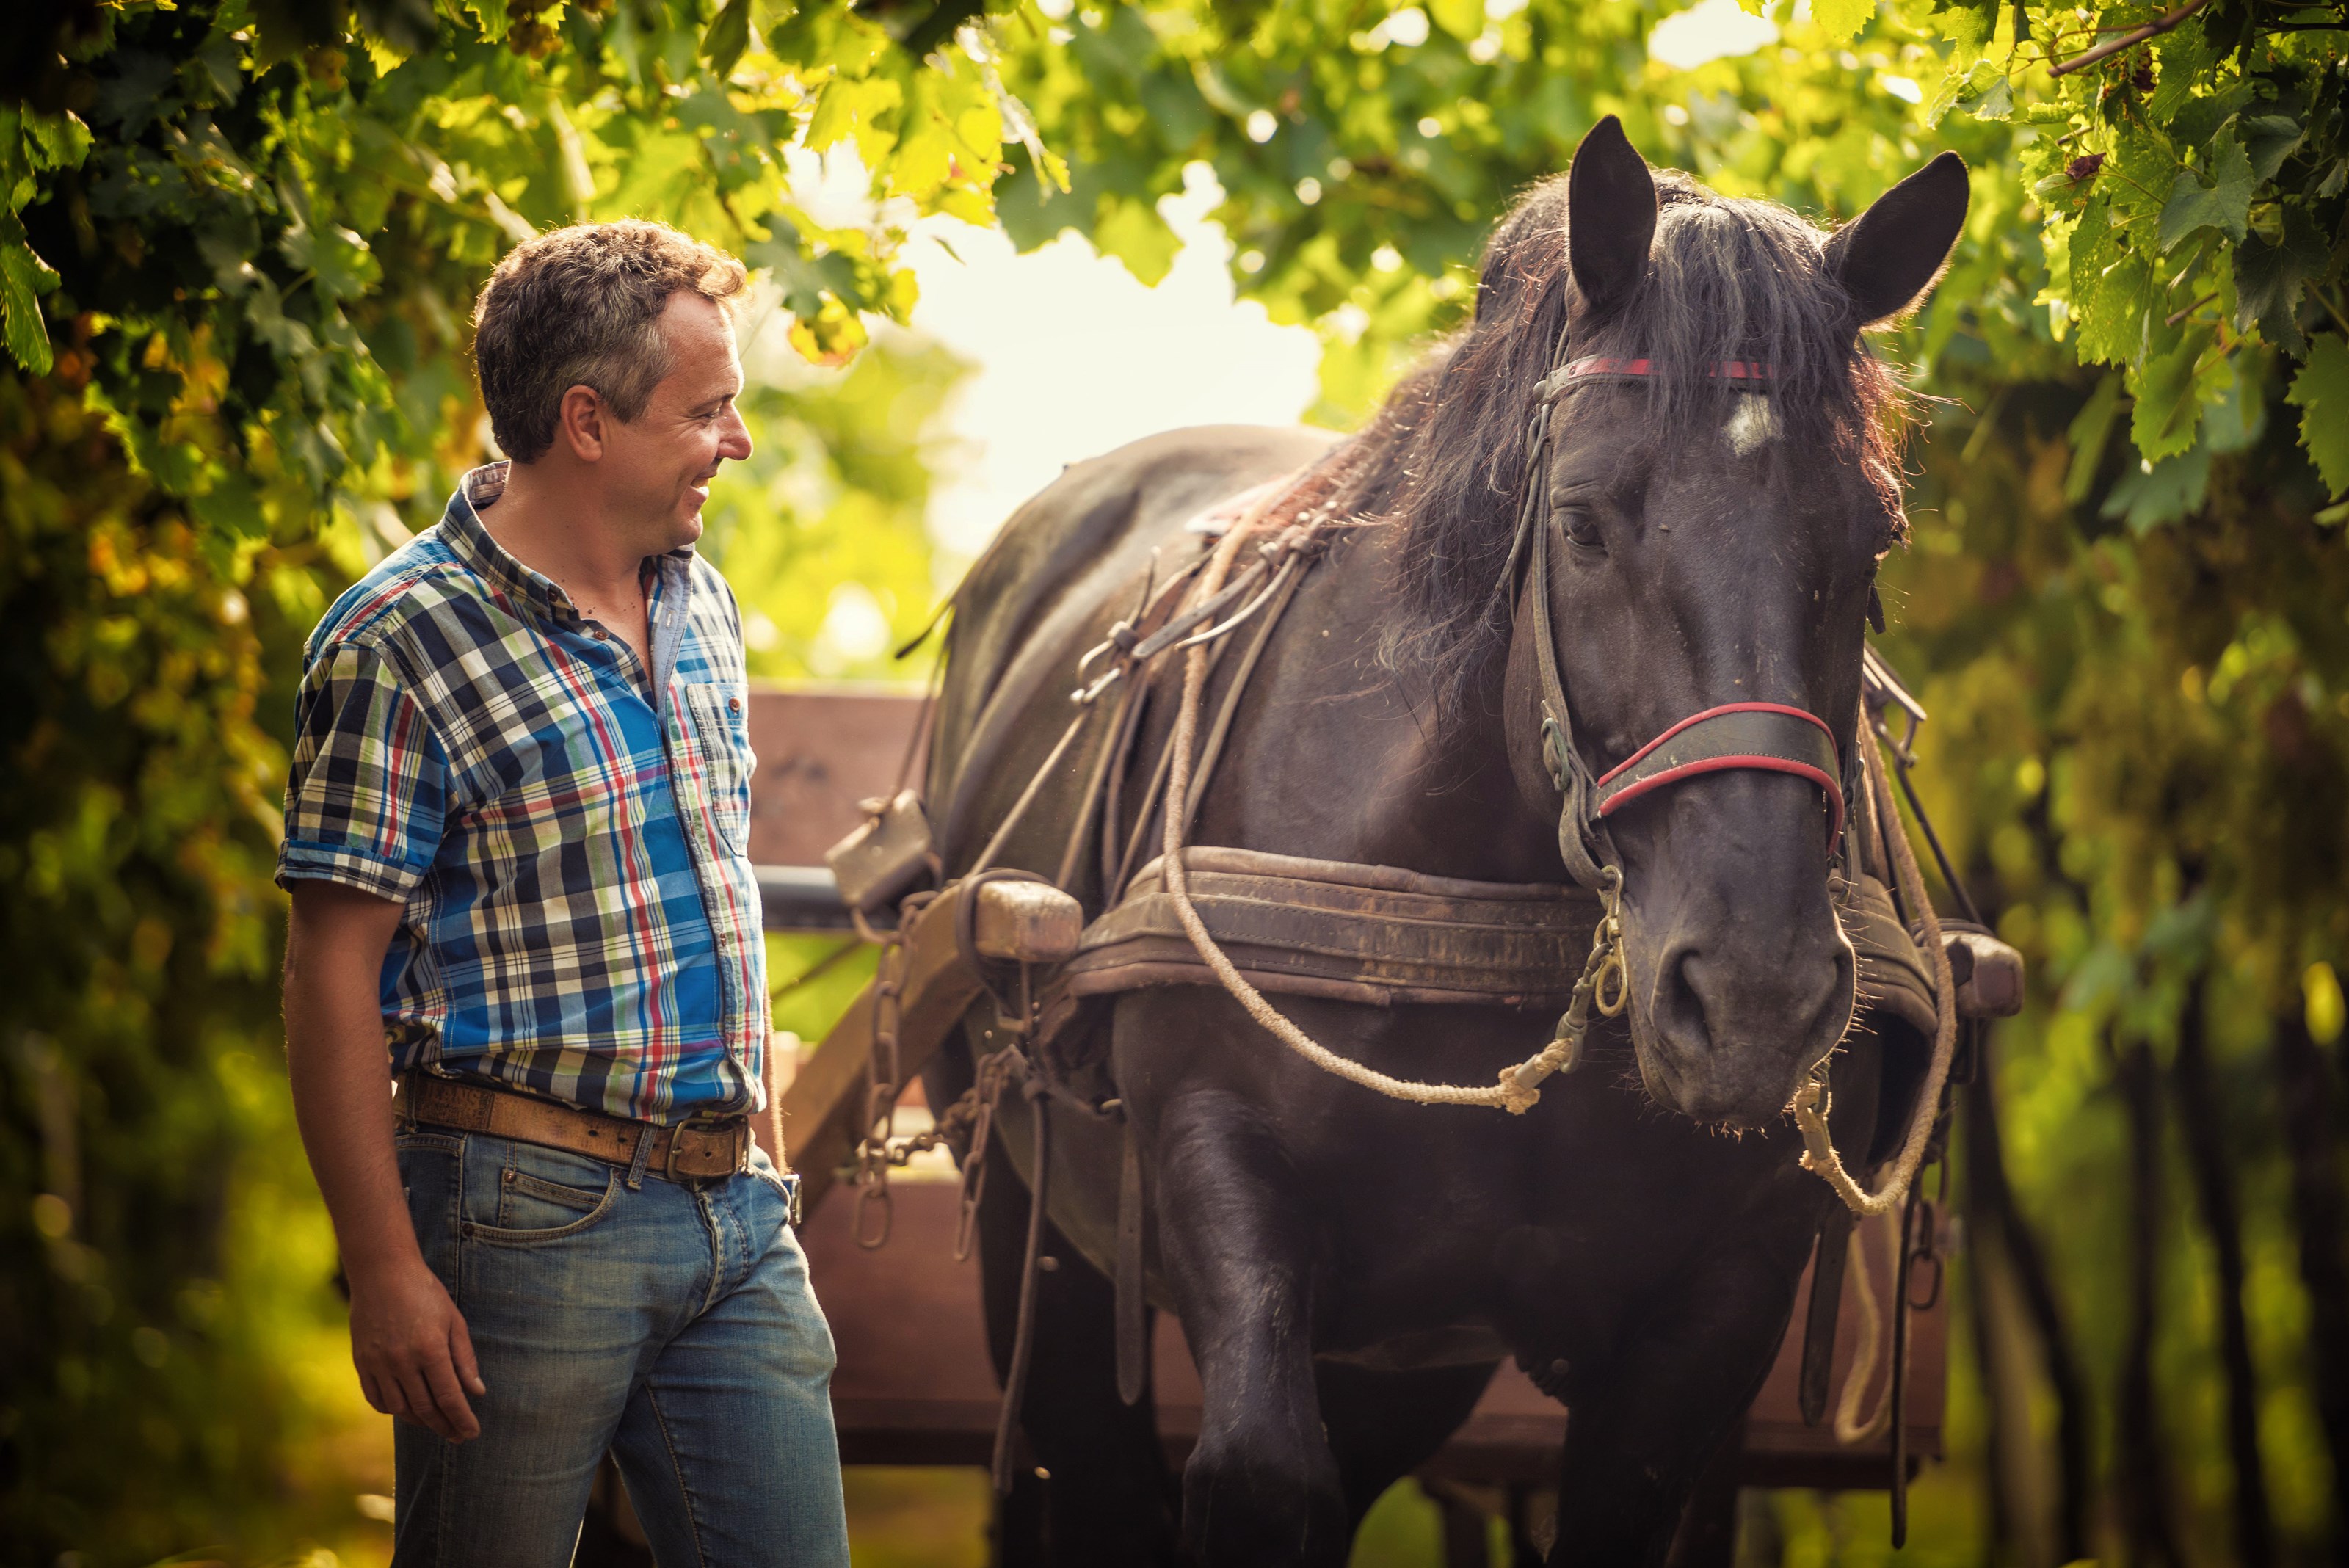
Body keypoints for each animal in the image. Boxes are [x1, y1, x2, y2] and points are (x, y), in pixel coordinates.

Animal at [911, 116, 1964, 1558]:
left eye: (1875, 541)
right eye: (1580, 522)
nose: (1757, 995)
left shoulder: (1722, 1297)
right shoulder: (1214, 1160)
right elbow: (1259, 1476)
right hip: (1047, 1246)